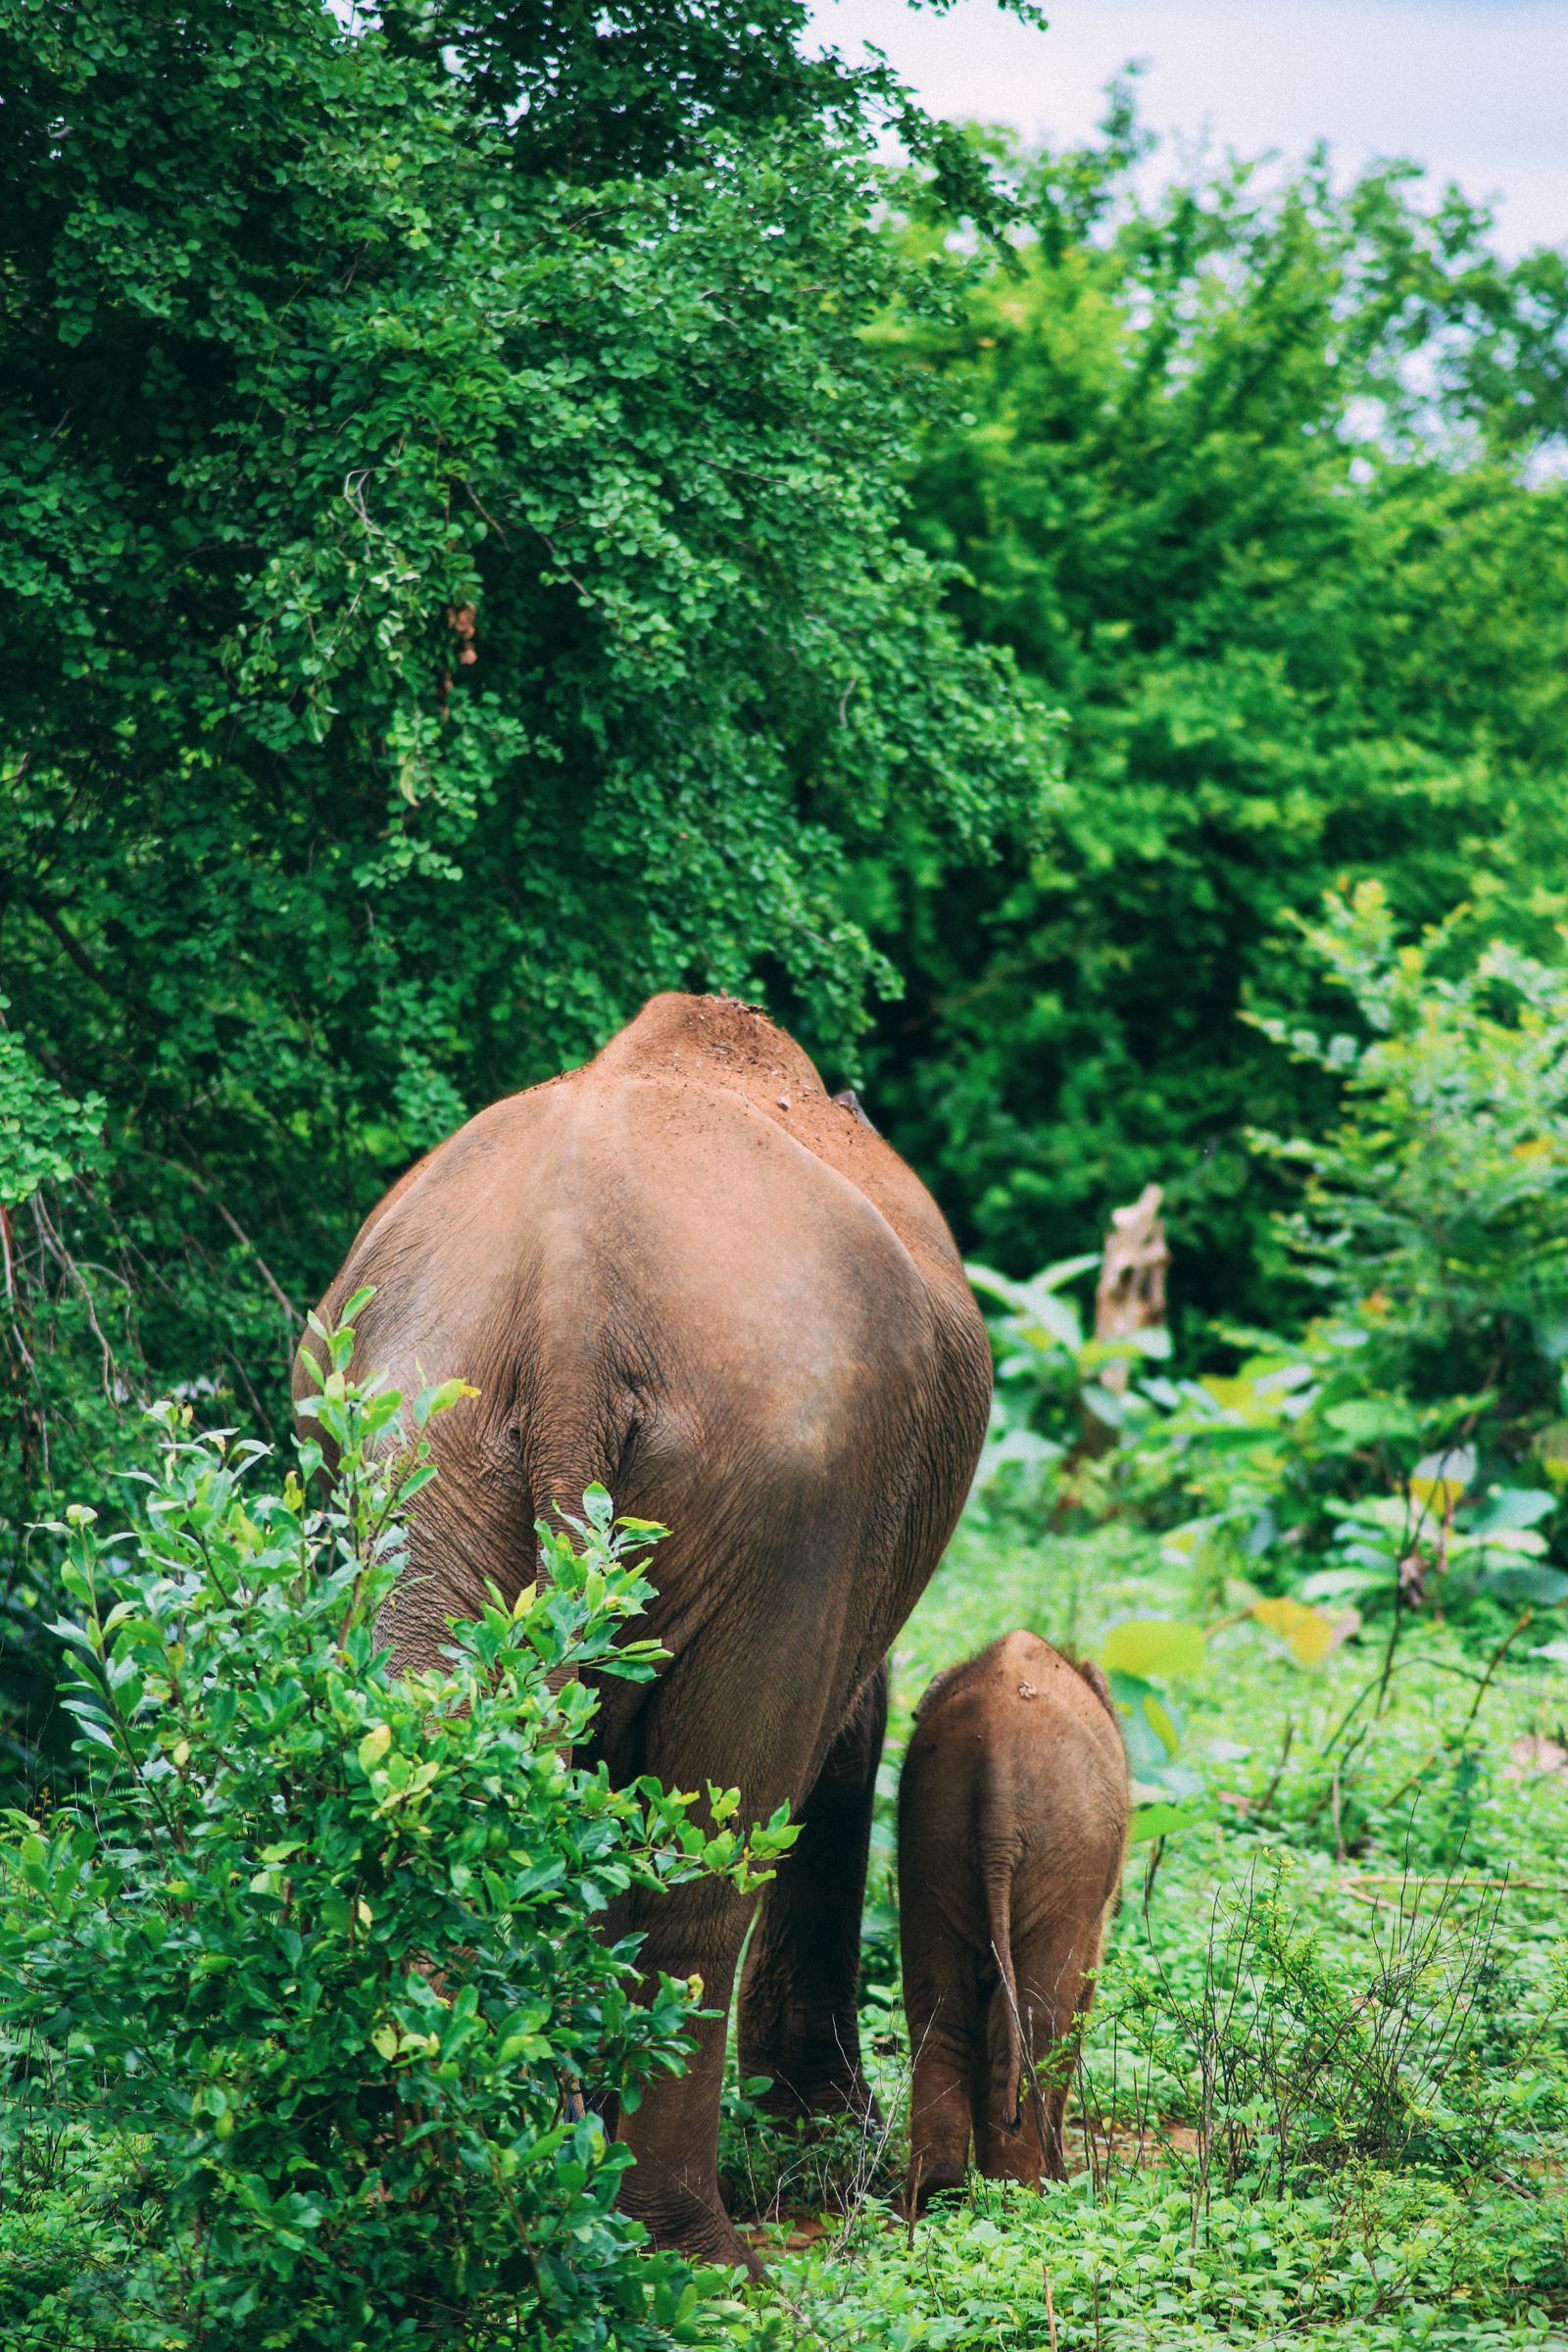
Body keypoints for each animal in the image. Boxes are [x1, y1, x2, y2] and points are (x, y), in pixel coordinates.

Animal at [291, 997, 992, 2277]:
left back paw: (432, 2212)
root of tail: (571, 1307)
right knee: (709, 1857)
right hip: (791, 1491)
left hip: (415, 1449)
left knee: (436, 1785)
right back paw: (693, 2256)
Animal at [893, 1627, 1128, 2211]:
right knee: (1041, 2021)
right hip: (1066, 1853)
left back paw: (939, 2195)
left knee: (940, 2016)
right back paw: (1023, 2194)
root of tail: (996, 1762)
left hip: (930, 1837)